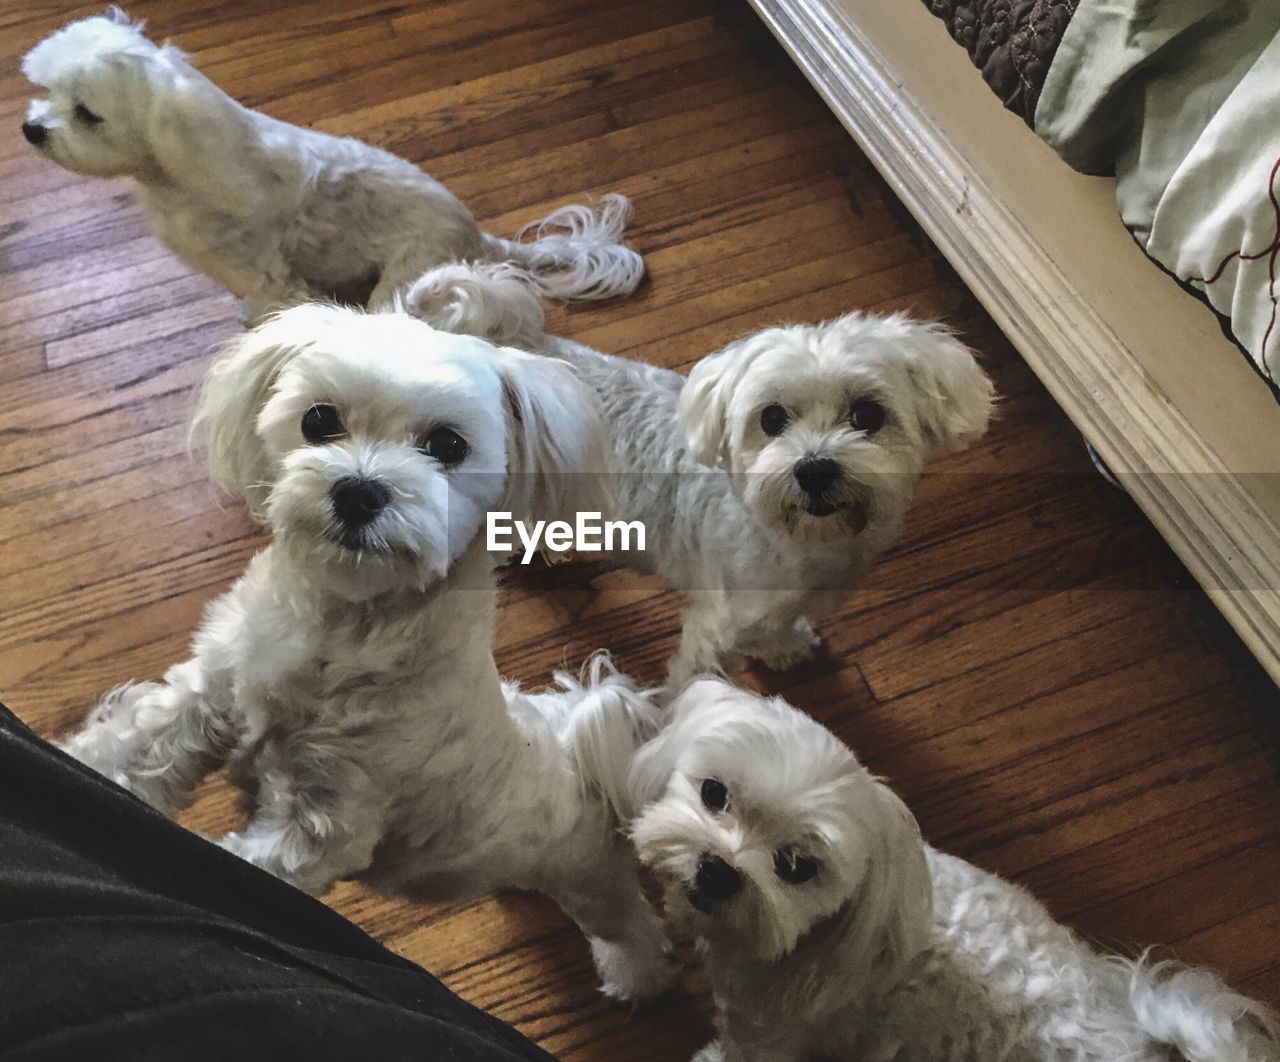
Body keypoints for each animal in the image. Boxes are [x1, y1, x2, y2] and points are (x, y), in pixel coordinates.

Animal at [20, 8, 640, 318]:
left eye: (86, 114)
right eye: (47, 90)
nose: (30, 129)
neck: (181, 164)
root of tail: (474, 235)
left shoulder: (265, 273)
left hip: (404, 278)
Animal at [57, 305, 680, 1008]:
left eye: (448, 445)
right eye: (318, 419)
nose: (358, 491)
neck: (345, 626)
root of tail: (579, 751)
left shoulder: (327, 821)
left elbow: (257, 868)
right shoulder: (213, 688)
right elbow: (136, 742)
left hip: (590, 878)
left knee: (629, 924)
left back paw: (637, 979)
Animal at [404, 262, 993, 685]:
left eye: (868, 415)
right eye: (771, 419)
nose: (814, 468)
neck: (796, 540)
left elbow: (774, 631)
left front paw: (783, 648)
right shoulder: (717, 621)